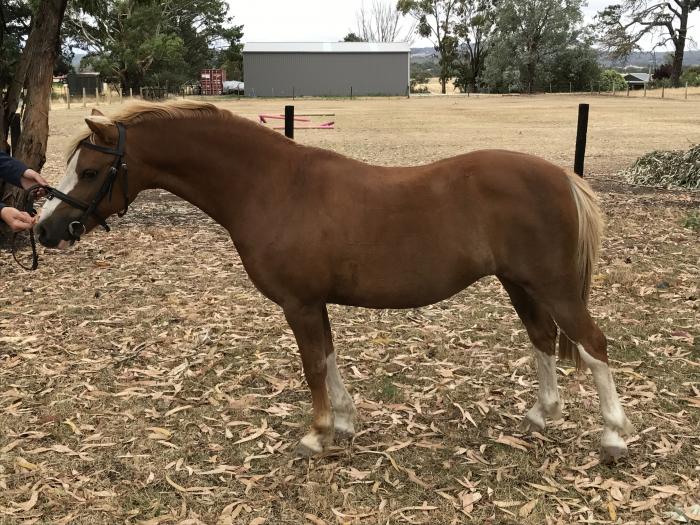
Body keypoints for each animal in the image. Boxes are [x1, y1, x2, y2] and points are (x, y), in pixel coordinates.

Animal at [36, 101, 633, 462]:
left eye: (89, 172)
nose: (45, 229)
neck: (271, 185)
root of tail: (562, 176)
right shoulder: (313, 303)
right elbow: (327, 356)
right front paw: (343, 423)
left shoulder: (298, 303)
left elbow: (312, 365)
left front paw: (316, 433)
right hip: (520, 285)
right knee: (543, 339)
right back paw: (541, 413)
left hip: (553, 287)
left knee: (593, 344)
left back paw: (612, 435)